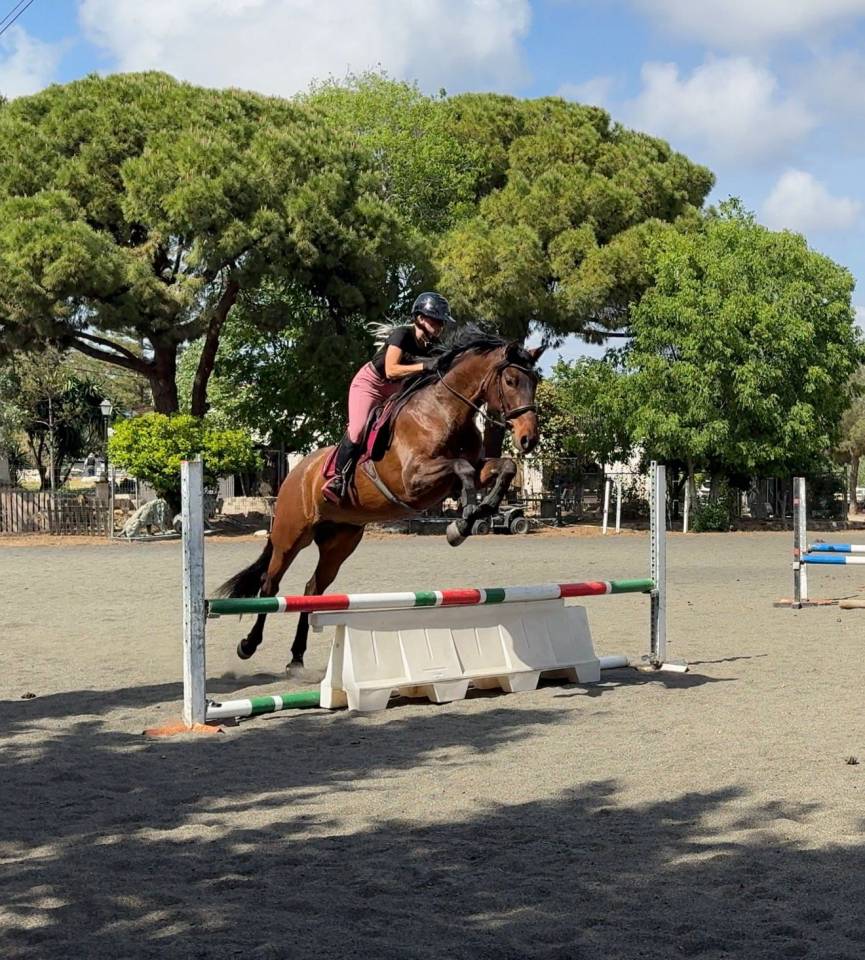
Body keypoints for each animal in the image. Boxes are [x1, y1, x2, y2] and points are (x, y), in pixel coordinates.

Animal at [214, 331, 544, 670]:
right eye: (511, 380)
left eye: (535, 381)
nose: (528, 439)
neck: (443, 412)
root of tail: (296, 474)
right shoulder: (414, 480)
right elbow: (462, 468)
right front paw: (464, 520)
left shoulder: (470, 470)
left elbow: (505, 466)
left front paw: (479, 513)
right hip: (291, 535)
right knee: (270, 584)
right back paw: (248, 645)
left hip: (339, 542)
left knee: (312, 588)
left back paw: (296, 657)